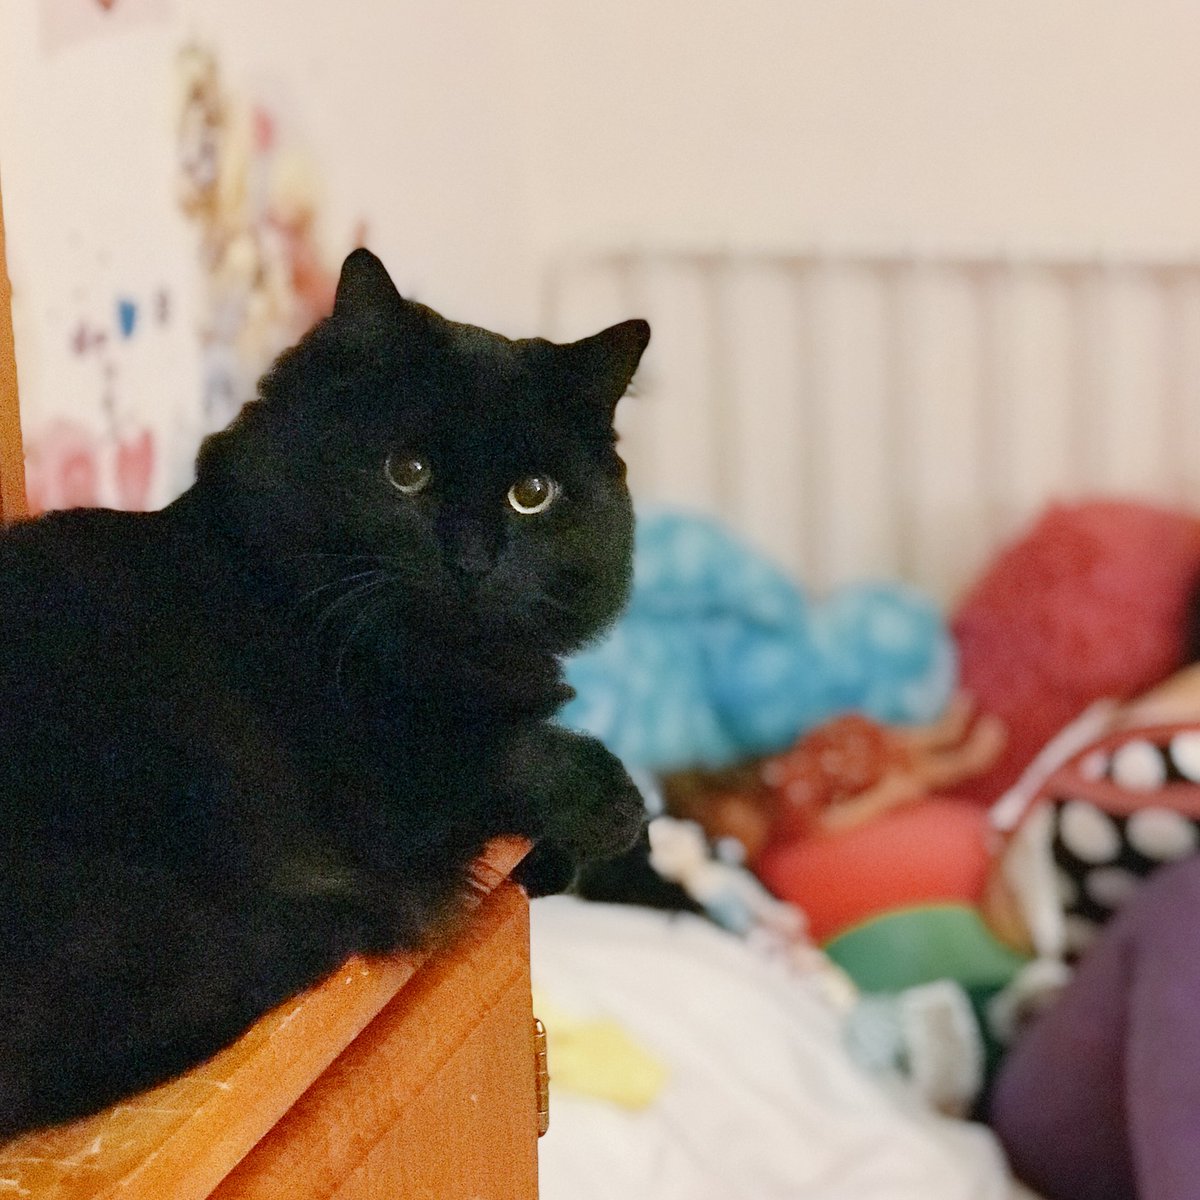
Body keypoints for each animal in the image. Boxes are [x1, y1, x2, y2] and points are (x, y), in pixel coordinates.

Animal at [0, 250, 648, 1132]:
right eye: (407, 474)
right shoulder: (395, 787)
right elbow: (509, 753)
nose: (473, 560)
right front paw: (612, 804)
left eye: (532, 494)